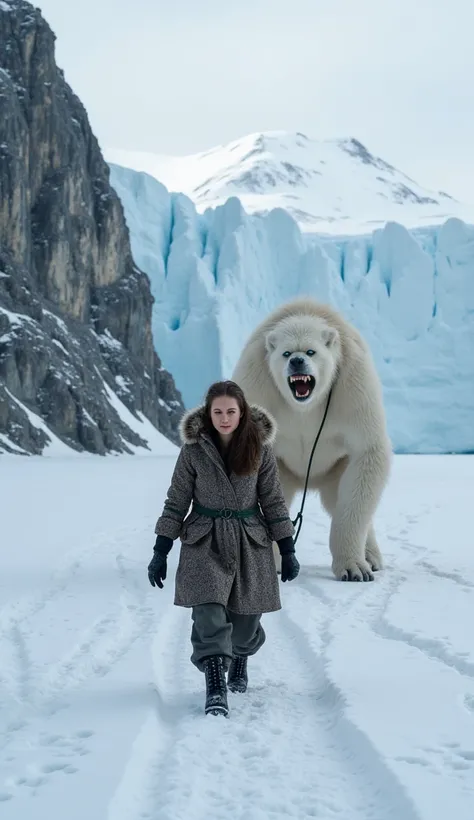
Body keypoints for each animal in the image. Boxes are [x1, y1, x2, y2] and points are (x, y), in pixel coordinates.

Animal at [233, 298, 392, 580]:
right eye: (286, 353)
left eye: (311, 352)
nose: (297, 362)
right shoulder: (259, 382)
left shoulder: (351, 385)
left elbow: (368, 449)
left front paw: (353, 568)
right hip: (284, 471)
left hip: (336, 468)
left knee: (343, 495)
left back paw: (371, 558)